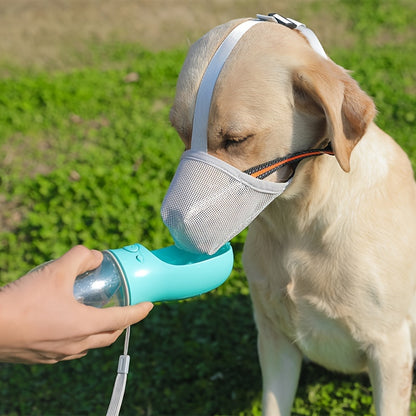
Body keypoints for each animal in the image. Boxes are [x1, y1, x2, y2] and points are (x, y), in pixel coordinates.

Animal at [161, 13, 416, 416]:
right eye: (181, 134)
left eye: (236, 139)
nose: (173, 220)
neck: (300, 223)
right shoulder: (275, 340)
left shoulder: (389, 349)